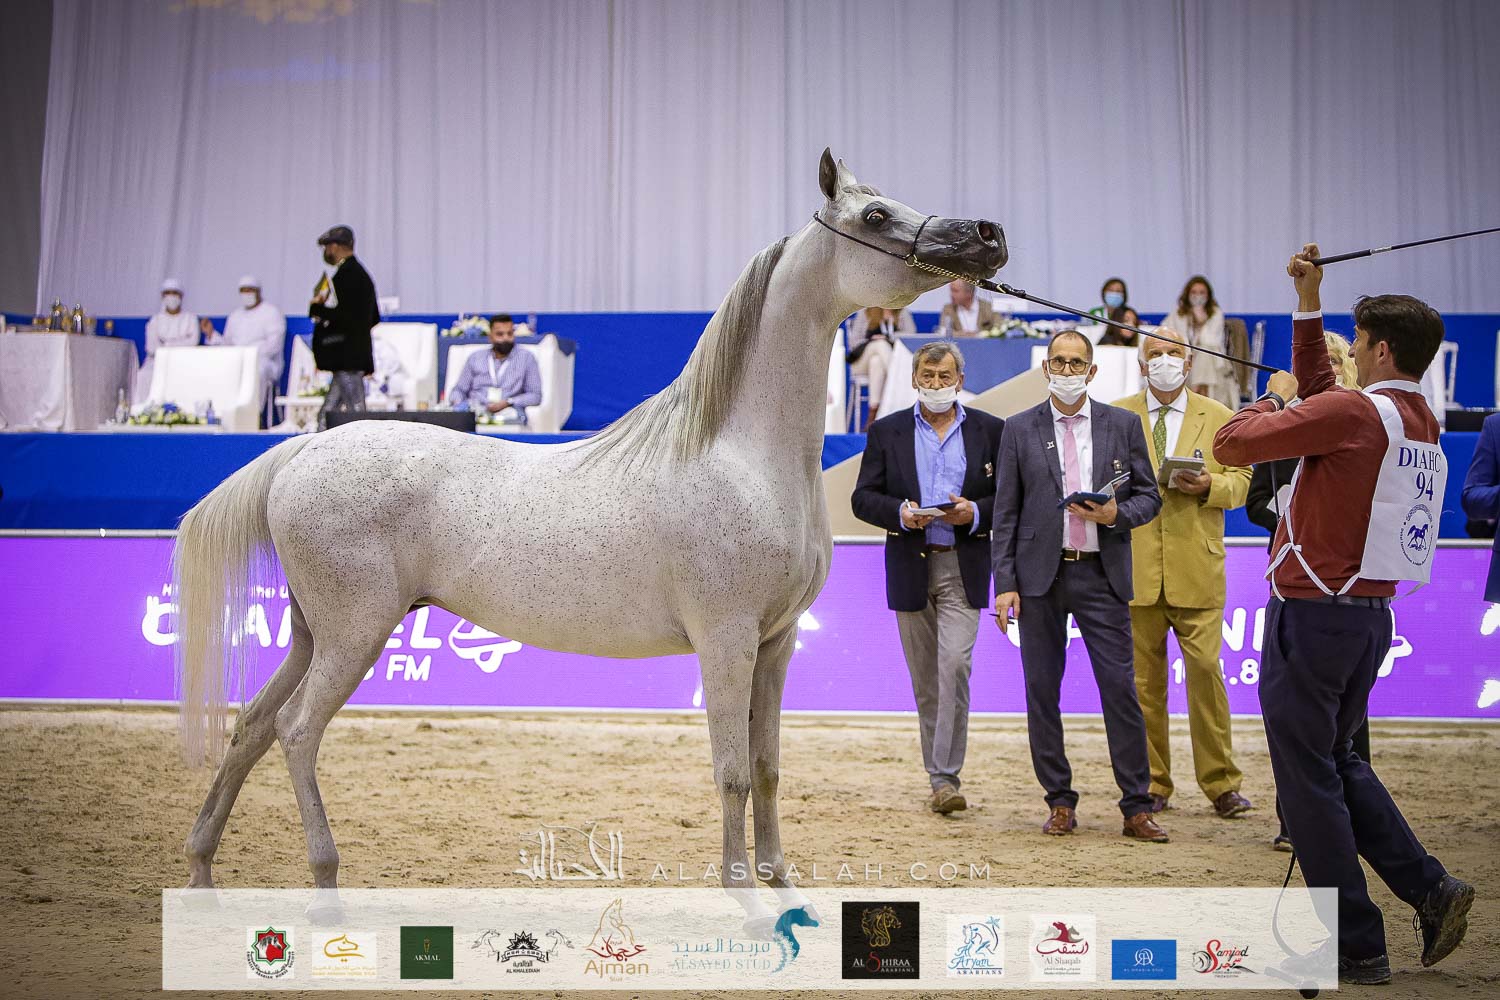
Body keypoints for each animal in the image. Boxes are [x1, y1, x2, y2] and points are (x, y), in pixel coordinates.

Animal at [173, 148, 1005, 928]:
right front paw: (746, 898)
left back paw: (204, 874)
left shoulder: (776, 643)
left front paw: (785, 889)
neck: (740, 453)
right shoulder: (727, 641)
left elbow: (768, 767)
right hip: (353, 634)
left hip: (312, 634)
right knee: (296, 731)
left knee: (252, 727)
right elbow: (732, 770)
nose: (987, 236)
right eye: (875, 216)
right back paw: (323, 891)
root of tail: (301, 451)